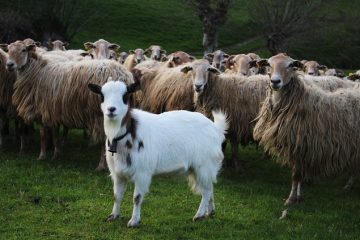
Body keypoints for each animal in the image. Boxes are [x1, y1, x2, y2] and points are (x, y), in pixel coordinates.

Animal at [88, 80, 228, 227]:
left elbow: (137, 198)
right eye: (102, 95)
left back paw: (199, 215)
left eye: (125, 95)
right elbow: (117, 196)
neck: (128, 132)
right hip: (203, 168)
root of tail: (216, 129)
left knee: (206, 191)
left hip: (204, 165)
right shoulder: (118, 174)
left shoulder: (142, 173)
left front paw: (134, 221)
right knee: (210, 187)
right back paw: (210, 212)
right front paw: (113, 215)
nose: (111, 109)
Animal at [255, 53, 360, 205]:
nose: (275, 82)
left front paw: (291, 199)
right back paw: (349, 185)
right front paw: (299, 196)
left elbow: (296, 175)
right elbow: (299, 175)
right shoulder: (300, 149)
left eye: (291, 65)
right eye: (269, 64)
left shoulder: (300, 145)